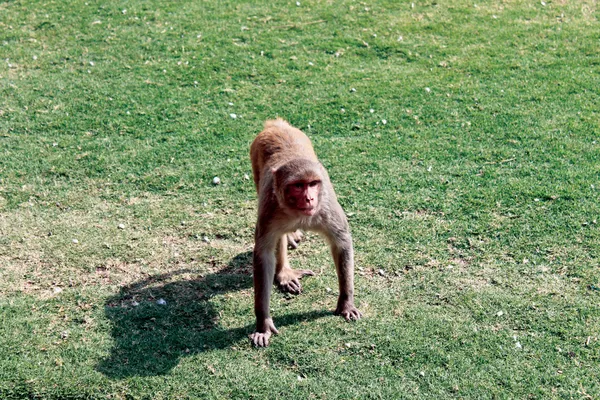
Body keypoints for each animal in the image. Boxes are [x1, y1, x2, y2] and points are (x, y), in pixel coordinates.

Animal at [248, 117, 360, 346]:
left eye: (313, 184)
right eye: (298, 186)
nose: (309, 199)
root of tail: (276, 125)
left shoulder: (326, 206)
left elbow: (341, 242)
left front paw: (346, 302)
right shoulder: (269, 208)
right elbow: (264, 254)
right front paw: (263, 322)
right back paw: (284, 273)